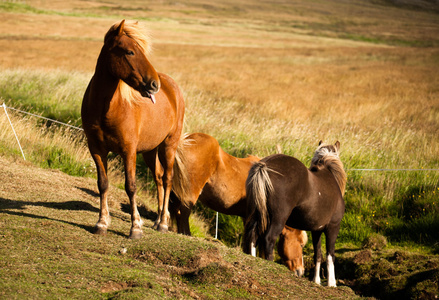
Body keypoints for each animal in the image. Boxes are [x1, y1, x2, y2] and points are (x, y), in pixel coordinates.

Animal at [81, 19, 185, 239]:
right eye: (129, 52)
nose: (154, 84)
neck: (108, 108)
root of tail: (172, 86)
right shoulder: (96, 148)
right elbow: (102, 184)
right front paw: (101, 223)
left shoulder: (128, 151)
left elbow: (131, 186)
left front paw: (135, 227)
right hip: (150, 151)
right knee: (159, 178)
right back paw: (157, 220)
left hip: (168, 146)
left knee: (168, 179)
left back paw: (163, 223)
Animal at [244, 142, 348, 288]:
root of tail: (264, 165)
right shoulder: (333, 227)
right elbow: (330, 255)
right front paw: (332, 283)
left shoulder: (316, 230)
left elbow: (318, 255)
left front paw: (316, 281)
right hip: (278, 219)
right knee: (269, 239)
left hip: (258, 214)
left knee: (253, 236)